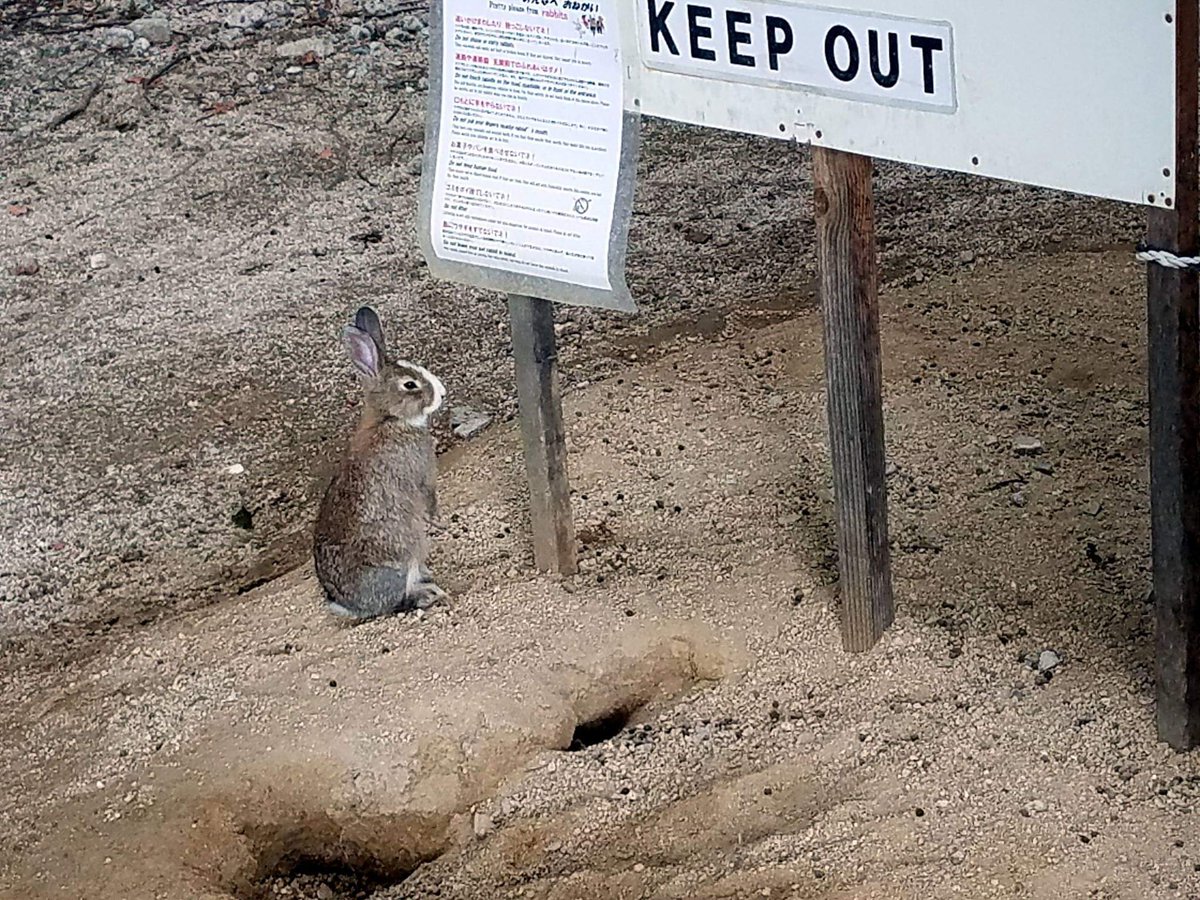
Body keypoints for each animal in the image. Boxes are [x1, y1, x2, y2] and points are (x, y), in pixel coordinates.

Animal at [314, 304, 451, 619]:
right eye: (410, 384)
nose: (441, 394)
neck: (390, 419)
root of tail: (349, 605)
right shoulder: (422, 475)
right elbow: (429, 498)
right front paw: (439, 520)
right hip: (400, 562)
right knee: (396, 602)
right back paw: (428, 594)